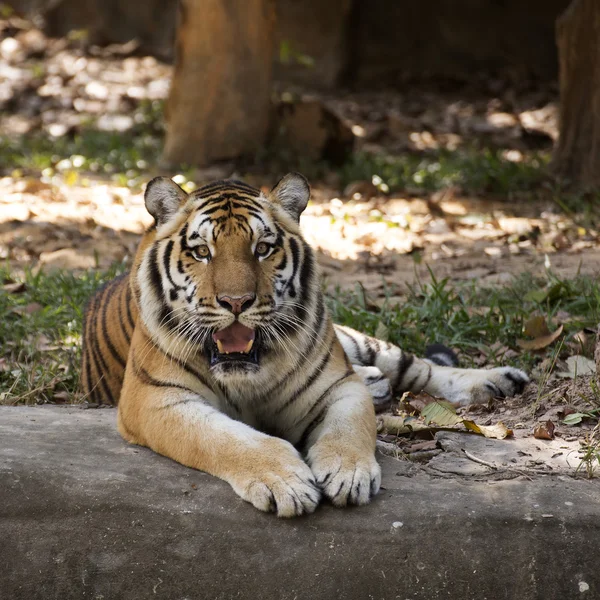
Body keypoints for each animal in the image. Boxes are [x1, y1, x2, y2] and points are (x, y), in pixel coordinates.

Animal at [82, 172, 528, 516]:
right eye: (202, 252)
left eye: (263, 248)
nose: (236, 302)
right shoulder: (157, 400)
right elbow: (228, 439)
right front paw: (286, 482)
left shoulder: (338, 386)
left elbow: (349, 430)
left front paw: (349, 474)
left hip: (358, 341)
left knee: (417, 366)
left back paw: (497, 380)